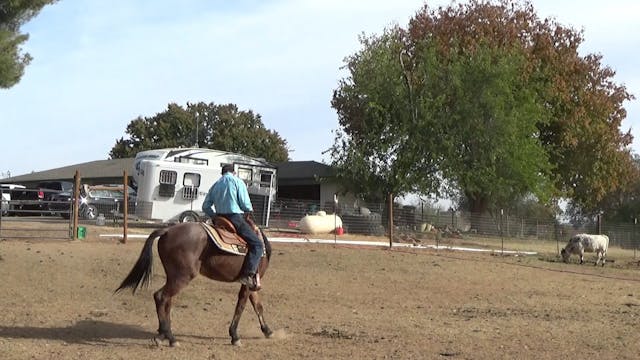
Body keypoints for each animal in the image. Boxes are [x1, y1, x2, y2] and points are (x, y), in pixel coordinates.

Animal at [115, 217, 272, 346]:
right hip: (183, 276)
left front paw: (267, 330)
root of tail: (167, 231)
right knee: (161, 296)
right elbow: (241, 306)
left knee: (166, 300)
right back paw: (170, 337)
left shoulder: (252, 283)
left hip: (173, 276)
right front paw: (234, 336)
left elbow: (258, 306)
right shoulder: (249, 282)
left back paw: (162, 334)